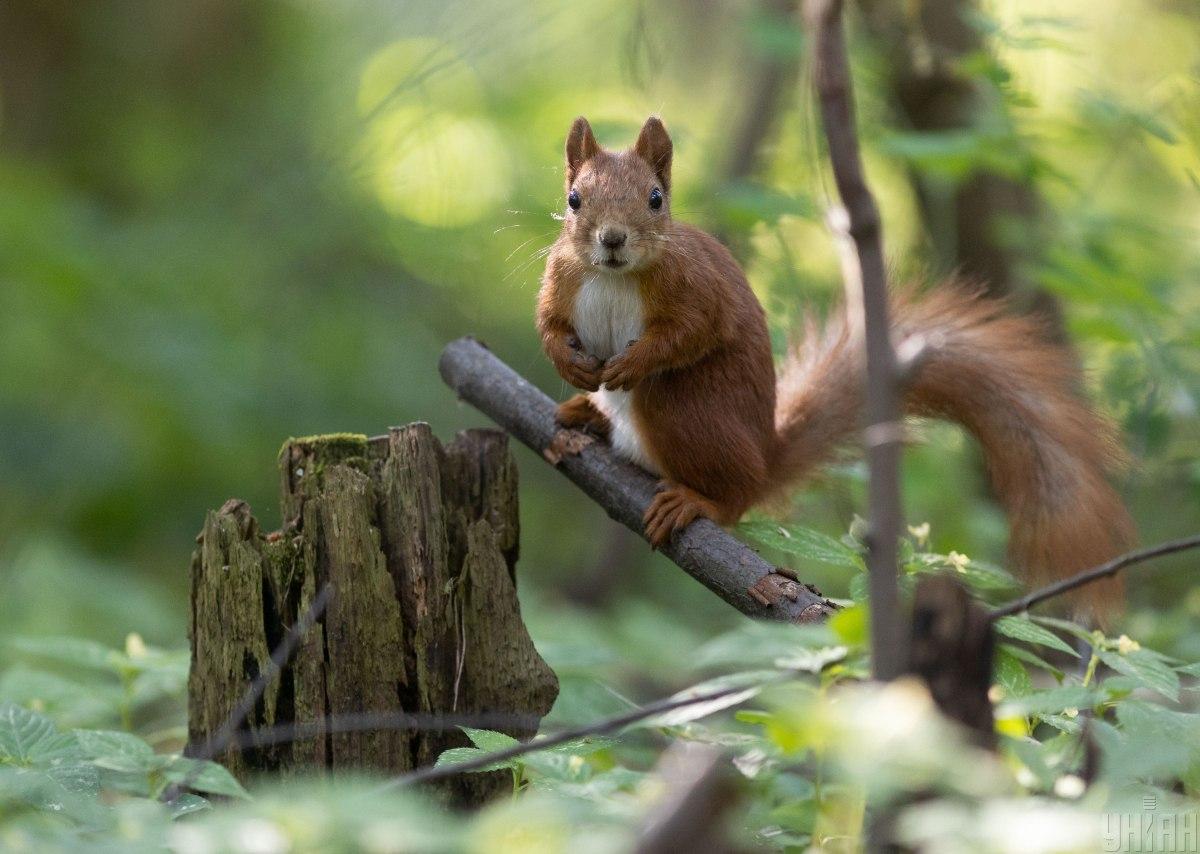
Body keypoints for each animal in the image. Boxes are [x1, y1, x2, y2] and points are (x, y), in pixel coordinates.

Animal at [537, 116, 1132, 618]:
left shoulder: (696, 289)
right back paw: (587, 412)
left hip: (685, 413)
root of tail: (764, 456)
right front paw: (568, 363)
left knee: (734, 494)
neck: (613, 276)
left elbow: (692, 333)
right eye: (574, 199)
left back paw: (696, 499)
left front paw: (635, 360)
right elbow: (549, 323)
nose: (612, 239)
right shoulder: (561, 278)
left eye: (656, 199)